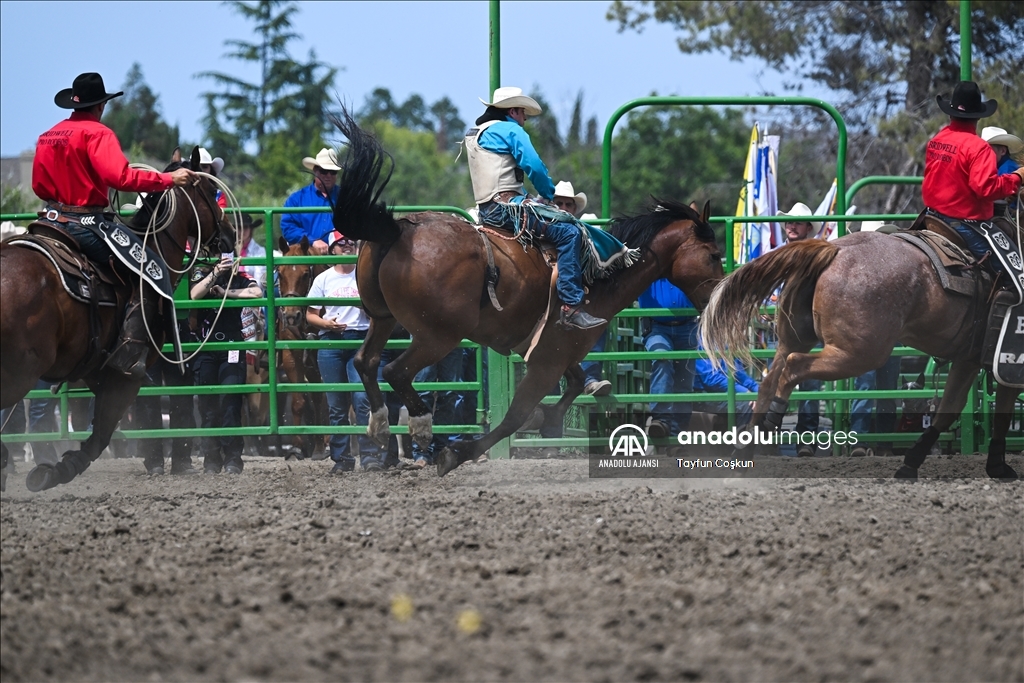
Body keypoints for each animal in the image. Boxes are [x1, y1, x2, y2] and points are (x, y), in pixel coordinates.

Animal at [0, 148, 234, 491]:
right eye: (209, 189)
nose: (230, 233)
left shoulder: (96, 369)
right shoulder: (126, 376)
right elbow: (100, 437)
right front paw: (55, 472)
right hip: (22, 371)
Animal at [325, 111, 720, 475]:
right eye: (715, 255)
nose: (715, 299)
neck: (600, 278)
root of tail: (398, 230)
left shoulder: (559, 352)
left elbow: (575, 383)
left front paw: (548, 421)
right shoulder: (547, 361)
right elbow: (515, 415)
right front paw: (460, 452)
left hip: (382, 318)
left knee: (365, 361)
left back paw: (379, 425)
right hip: (438, 336)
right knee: (396, 371)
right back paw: (422, 428)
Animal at [700, 229, 1019, 481]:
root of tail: (834, 250)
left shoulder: (968, 359)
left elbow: (949, 408)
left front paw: (910, 465)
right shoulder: (1007, 363)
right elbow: (1002, 412)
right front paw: (998, 467)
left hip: (795, 340)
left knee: (770, 379)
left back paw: (744, 453)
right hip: (860, 353)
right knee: (794, 368)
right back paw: (770, 424)